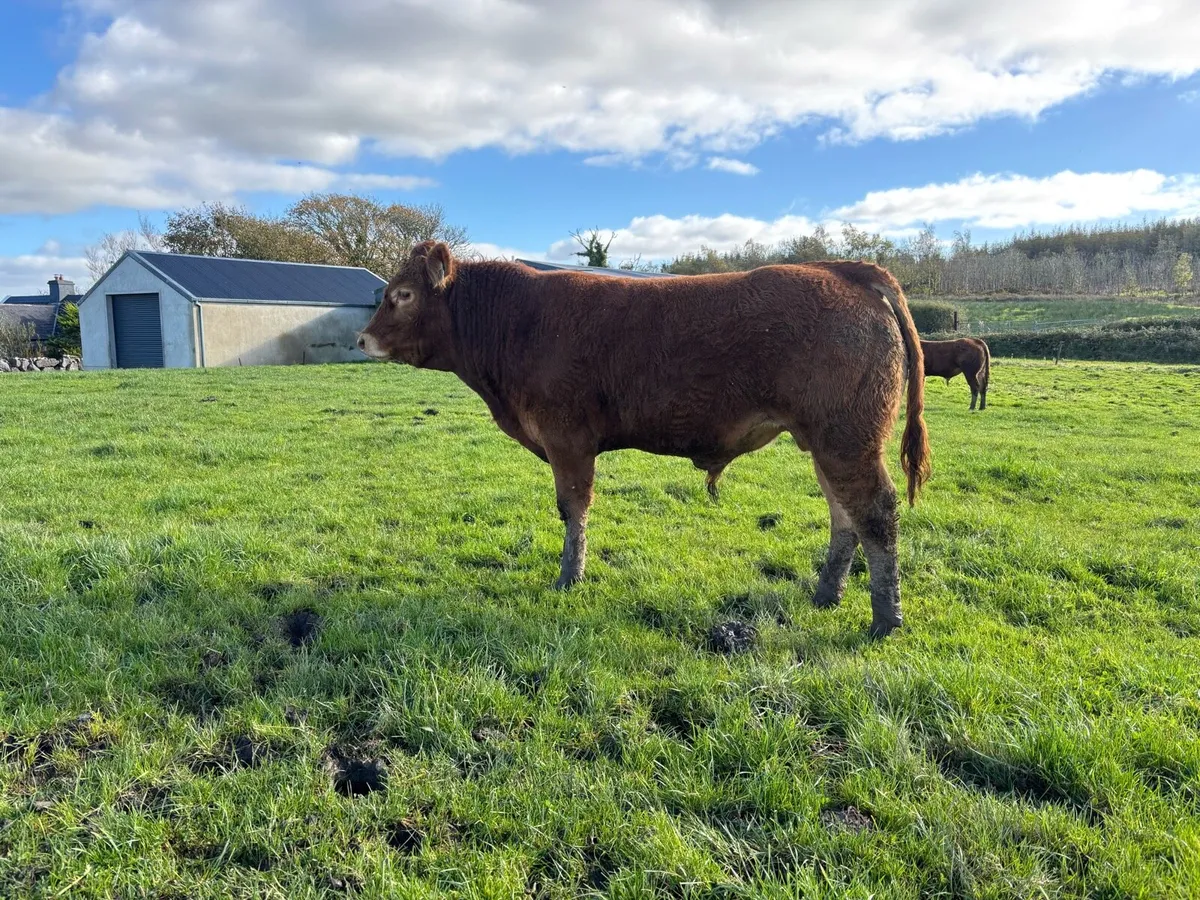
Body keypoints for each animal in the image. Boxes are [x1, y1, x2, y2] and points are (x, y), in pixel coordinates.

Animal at [358, 242, 931, 637]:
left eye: (402, 295)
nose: (362, 339)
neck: (517, 324)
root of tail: (840, 269)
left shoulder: (566, 438)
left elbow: (573, 507)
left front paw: (569, 578)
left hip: (847, 438)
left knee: (875, 512)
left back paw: (886, 620)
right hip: (827, 441)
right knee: (844, 516)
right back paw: (826, 596)